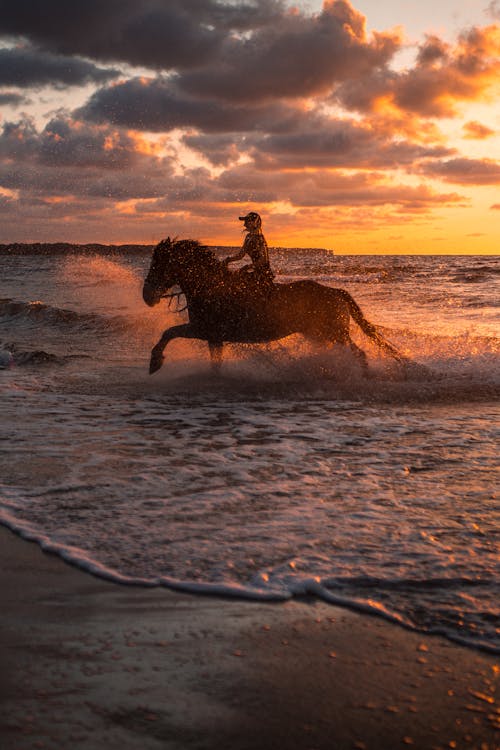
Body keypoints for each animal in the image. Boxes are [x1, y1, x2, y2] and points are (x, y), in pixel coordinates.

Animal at [142, 238, 406, 376]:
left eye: (159, 265)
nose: (146, 296)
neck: (210, 286)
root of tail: (336, 292)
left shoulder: (204, 329)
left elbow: (169, 332)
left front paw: (155, 362)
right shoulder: (213, 337)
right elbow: (214, 362)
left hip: (334, 333)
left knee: (359, 353)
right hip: (319, 335)